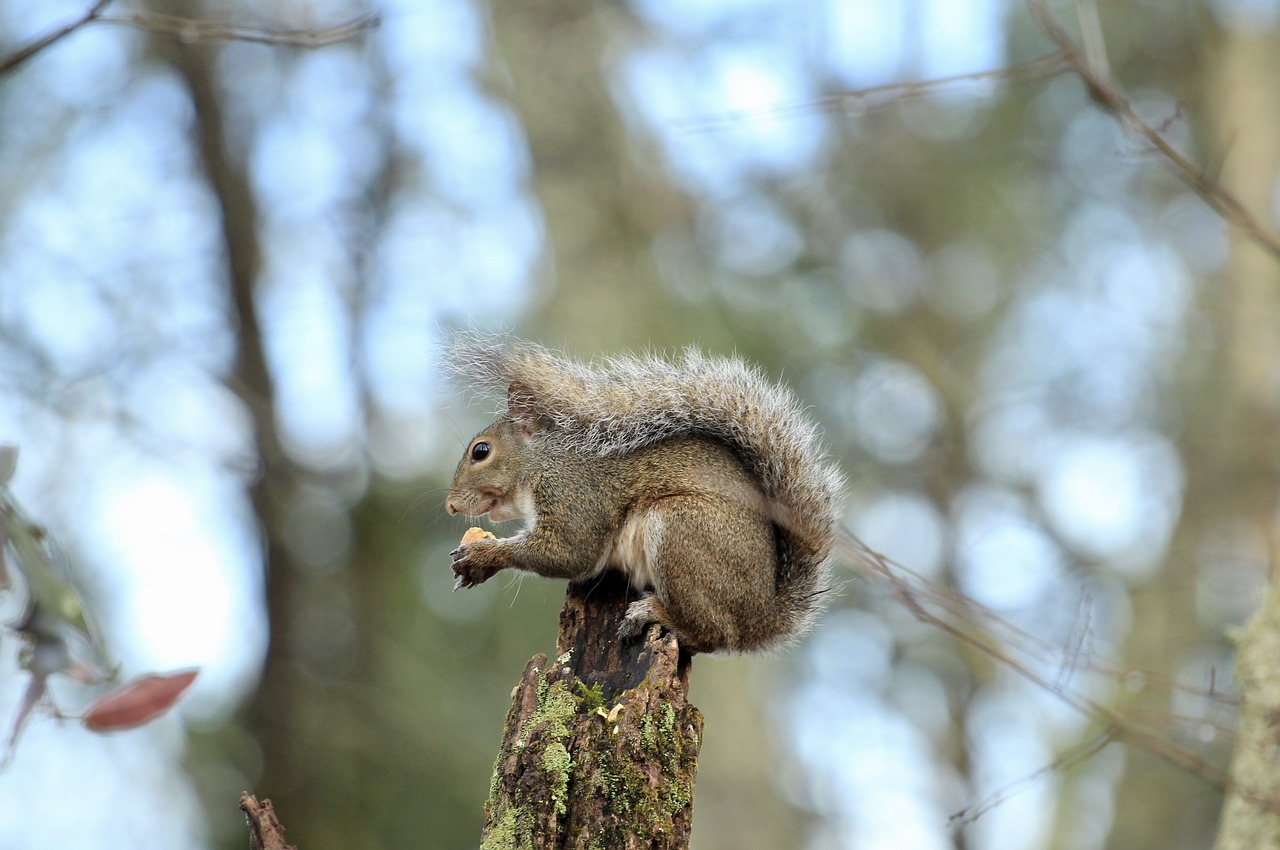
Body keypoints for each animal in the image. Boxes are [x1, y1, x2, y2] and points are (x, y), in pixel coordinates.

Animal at [445, 332, 844, 650]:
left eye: (481, 451)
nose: (450, 506)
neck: (543, 461)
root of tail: (763, 616)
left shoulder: (573, 494)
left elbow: (567, 552)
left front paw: (483, 555)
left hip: (682, 530)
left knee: (713, 635)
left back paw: (656, 613)